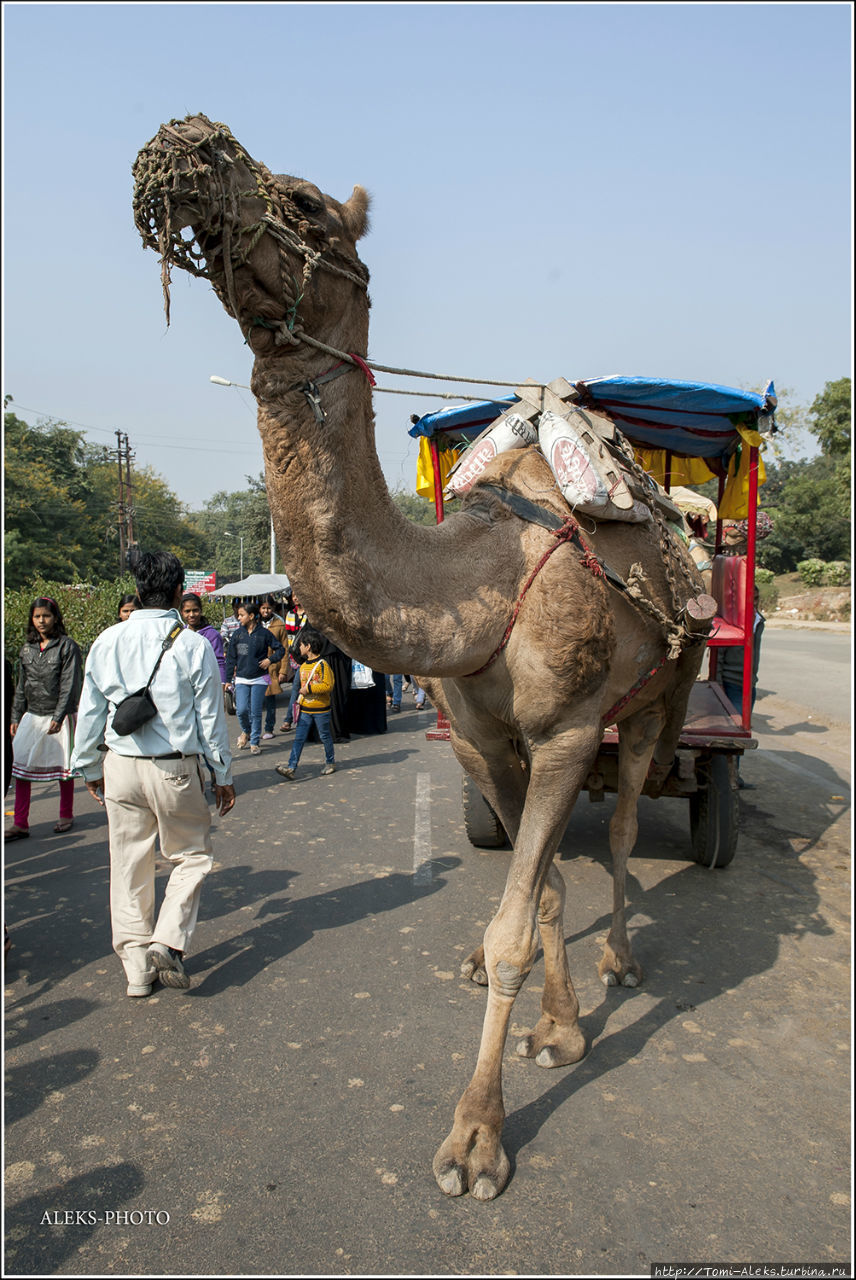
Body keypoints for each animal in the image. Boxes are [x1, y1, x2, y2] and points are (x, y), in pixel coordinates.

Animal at [131, 112, 706, 1198]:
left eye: (306, 205)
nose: (184, 144)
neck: (474, 578)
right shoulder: (480, 738)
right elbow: (535, 891)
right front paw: (558, 1031)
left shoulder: (567, 730)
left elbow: (518, 919)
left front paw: (477, 1139)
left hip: (665, 690)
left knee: (623, 825)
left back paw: (623, 959)